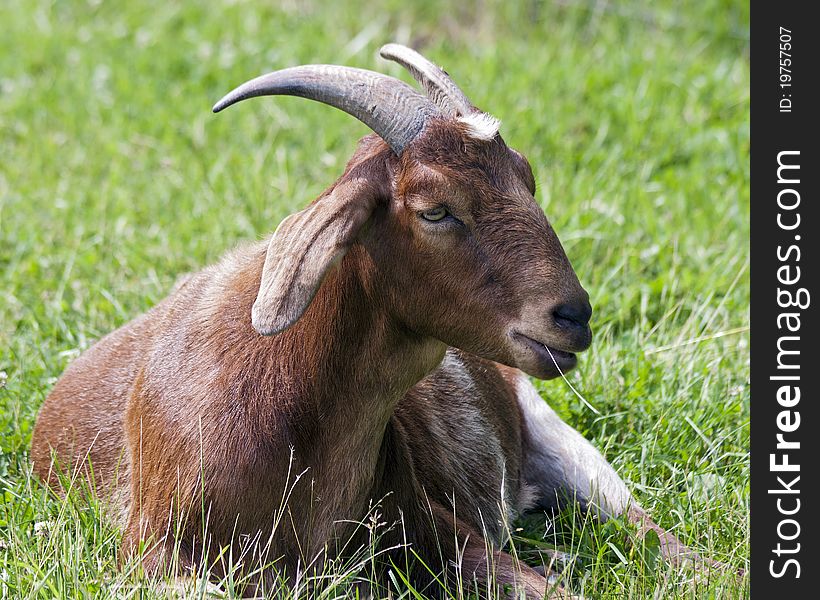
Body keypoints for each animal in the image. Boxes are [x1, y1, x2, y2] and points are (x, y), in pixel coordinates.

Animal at [32, 44, 720, 596]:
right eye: (436, 208)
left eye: (526, 175)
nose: (572, 316)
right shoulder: (156, 557)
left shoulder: (434, 526)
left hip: (562, 443)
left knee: (644, 529)